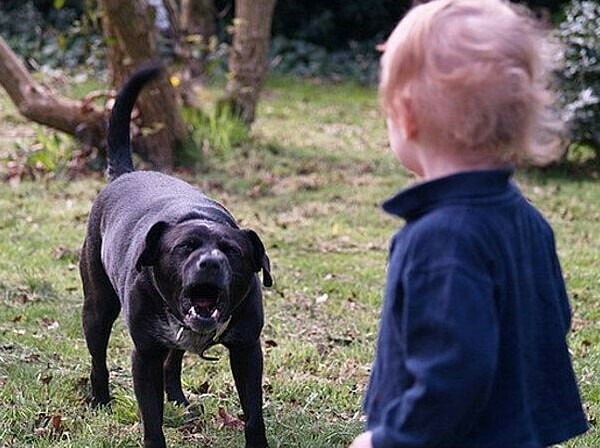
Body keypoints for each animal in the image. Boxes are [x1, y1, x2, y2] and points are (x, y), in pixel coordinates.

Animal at [81, 64, 274, 448]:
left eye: (232, 251)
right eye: (185, 246)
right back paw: (100, 399)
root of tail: (125, 174)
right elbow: (151, 417)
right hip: (97, 307)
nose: (210, 262)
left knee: (174, 362)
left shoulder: (247, 350)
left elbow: (253, 411)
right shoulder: (145, 355)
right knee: (98, 358)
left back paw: (179, 399)